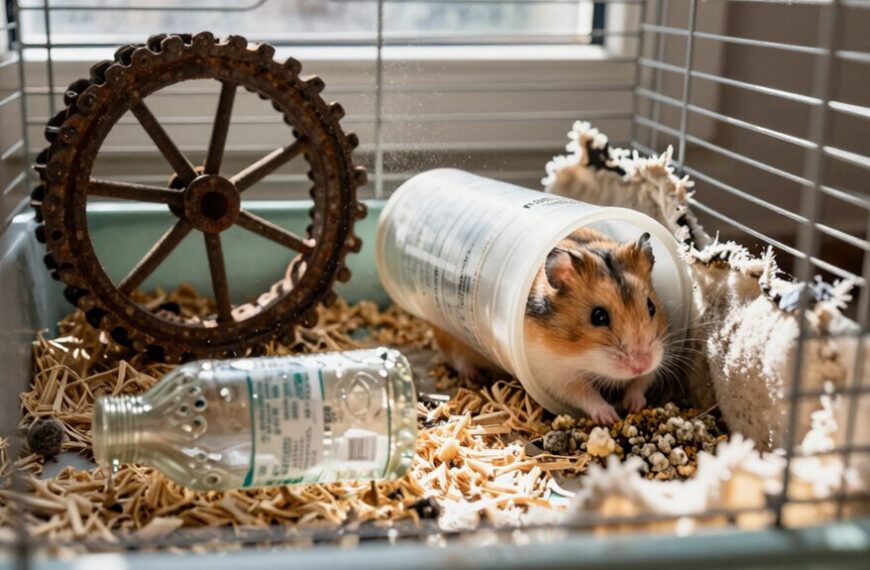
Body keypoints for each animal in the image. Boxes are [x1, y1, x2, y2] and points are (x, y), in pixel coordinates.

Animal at [433, 228, 668, 425]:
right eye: (598, 317)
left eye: (651, 306)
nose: (641, 364)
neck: (584, 358)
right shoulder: (556, 377)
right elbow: (586, 394)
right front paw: (610, 417)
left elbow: (640, 383)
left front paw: (635, 405)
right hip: (449, 336)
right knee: (457, 358)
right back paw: (474, 376)